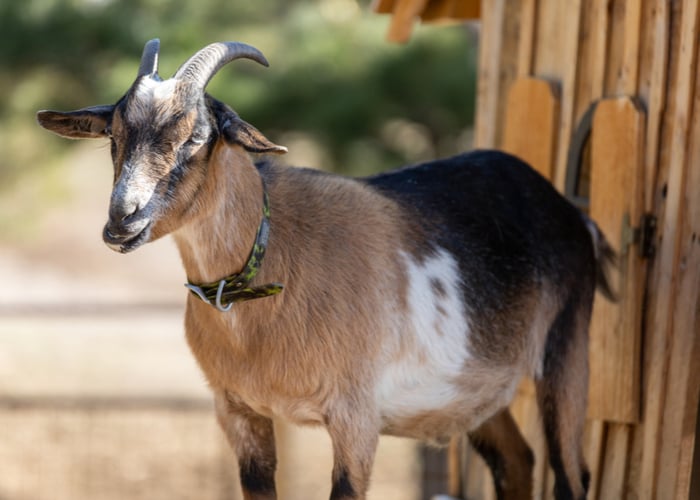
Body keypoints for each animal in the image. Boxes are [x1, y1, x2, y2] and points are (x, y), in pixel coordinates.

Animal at [39, 40, 612, 500]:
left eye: (198, 138)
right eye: (114, 136)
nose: (123, 220)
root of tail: (566, 208)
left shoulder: (356, 418)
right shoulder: (239, 414)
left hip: (568, 351)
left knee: (570, 475)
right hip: (480, 392)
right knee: (518, 462)